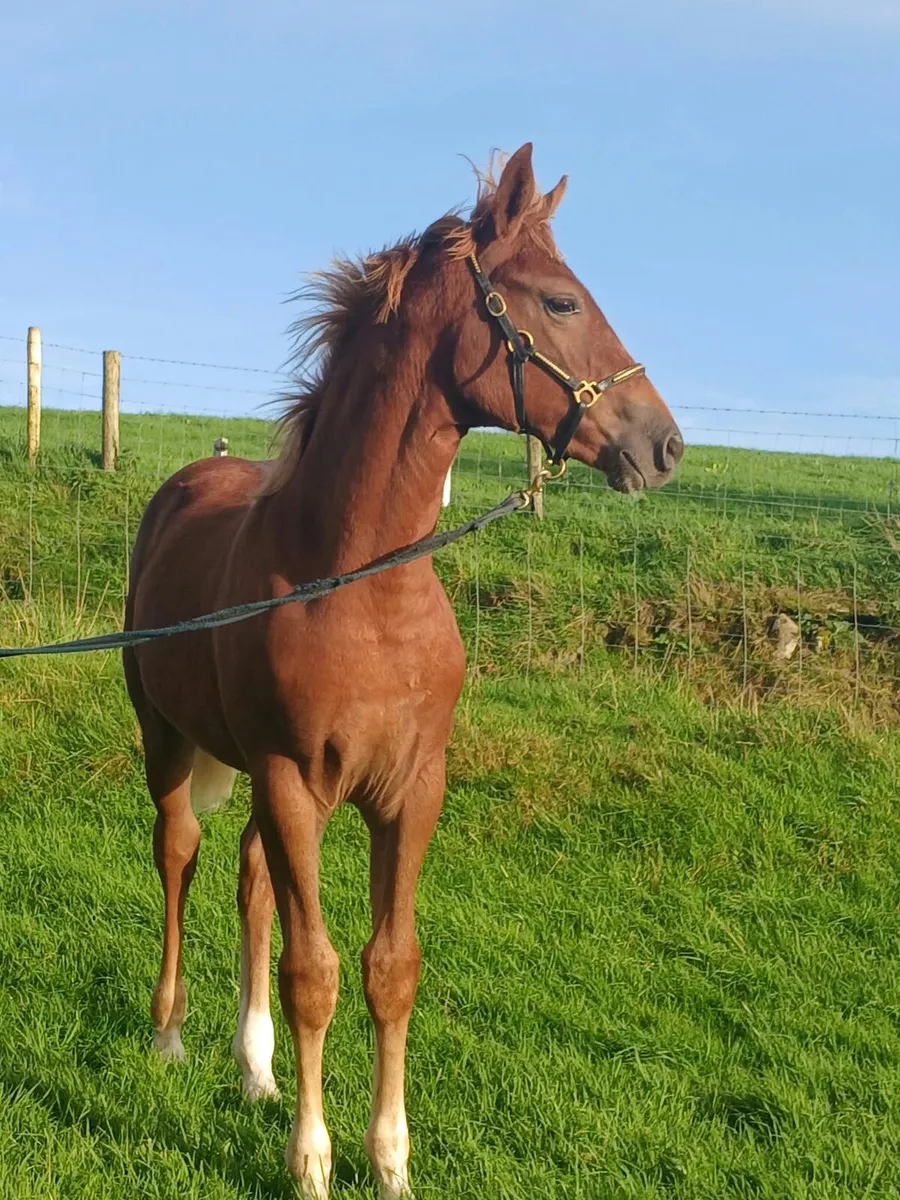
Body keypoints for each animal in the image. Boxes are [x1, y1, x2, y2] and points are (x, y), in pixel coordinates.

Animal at [123, 143, 684, 1199]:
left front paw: (389, 1161)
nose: (663, 444)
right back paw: (171, 1036)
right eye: (560, 302)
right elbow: (316, 974)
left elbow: (390, 967)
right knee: (181, 855)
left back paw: (253, 1069)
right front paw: (311, 1160)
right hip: (170, 741)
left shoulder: (412, 788)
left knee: (251, 882)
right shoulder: (294, 783)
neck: (359, 587)